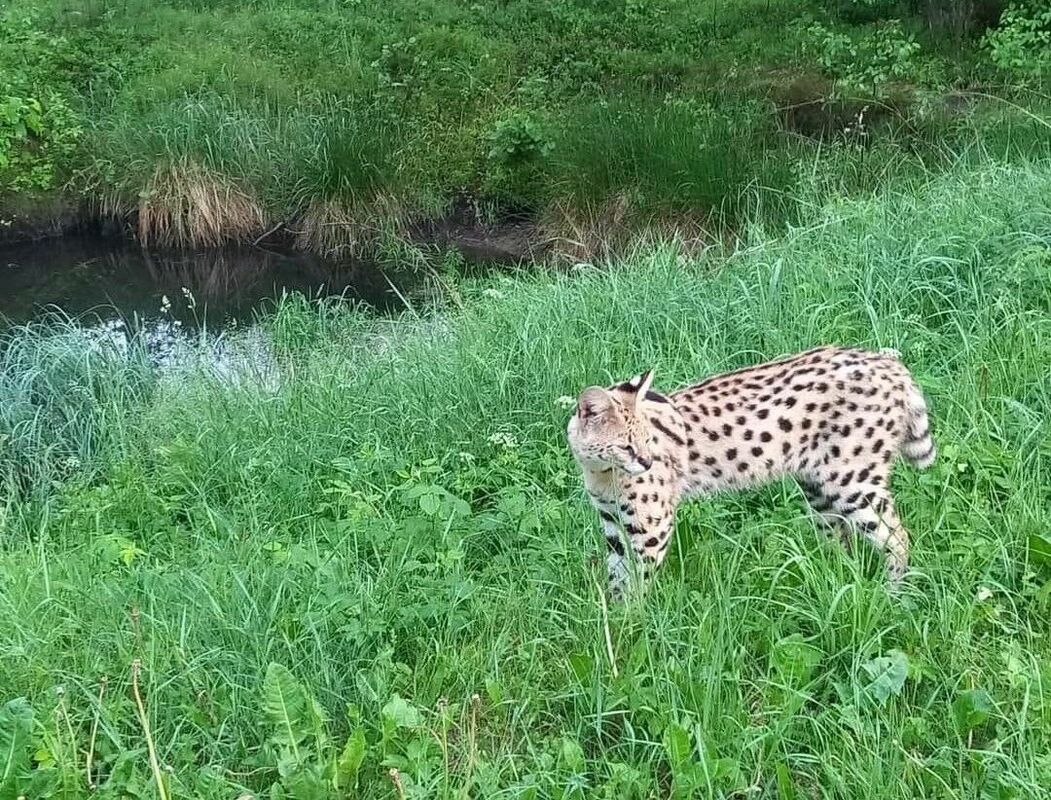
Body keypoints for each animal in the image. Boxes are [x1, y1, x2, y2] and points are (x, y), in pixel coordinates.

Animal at [567, 346, 937, 597]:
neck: (600, 472)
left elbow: (637, 583)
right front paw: (613, 619)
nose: (645, 463)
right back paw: (834, 582)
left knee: (898, 537)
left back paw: (893, 593)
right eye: (626, 446)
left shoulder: (651, 528)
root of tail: (886, 361)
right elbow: (616, 576)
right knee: (840, 540)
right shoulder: (612, 524)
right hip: (818, 488)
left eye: (647, 441)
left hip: (853, 482)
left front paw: (632, 629)